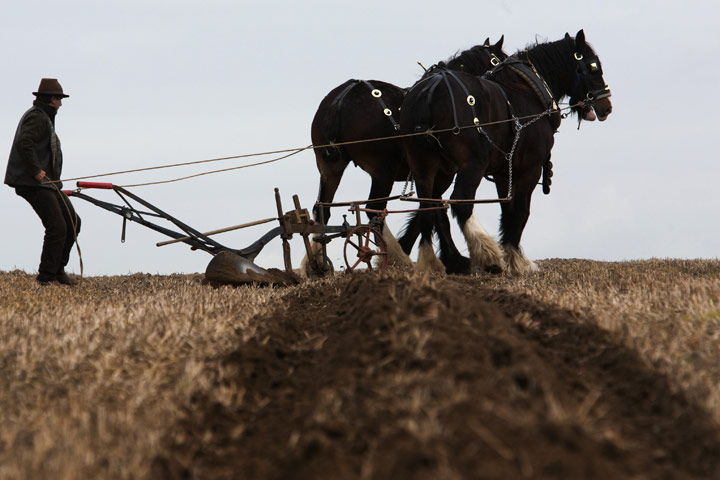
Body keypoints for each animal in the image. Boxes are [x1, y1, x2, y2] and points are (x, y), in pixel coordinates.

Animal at [308, 37, 507, 270]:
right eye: (500, 60)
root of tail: (341, 99)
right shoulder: (442, 174)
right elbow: (432, 211)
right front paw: (448, 258)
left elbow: (435, 211)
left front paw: (447, 257)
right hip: (383, 171)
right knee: (374, 209)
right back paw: (393, 257)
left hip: (330, 168)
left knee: (322, 210)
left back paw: (317, 262)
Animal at [397, 30, 612, 275]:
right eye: (594, 67)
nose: (607, 106)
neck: (529, 89)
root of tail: (428, 94)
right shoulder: (529, 169)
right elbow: (520, 211)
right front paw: (518, 260)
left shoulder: (503, 172)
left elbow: (507, 211)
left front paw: (511, 256)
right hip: (471, 165)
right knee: (460, 203)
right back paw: (486, 255)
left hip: (428, 168)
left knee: (429, 206)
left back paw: (437, 260)